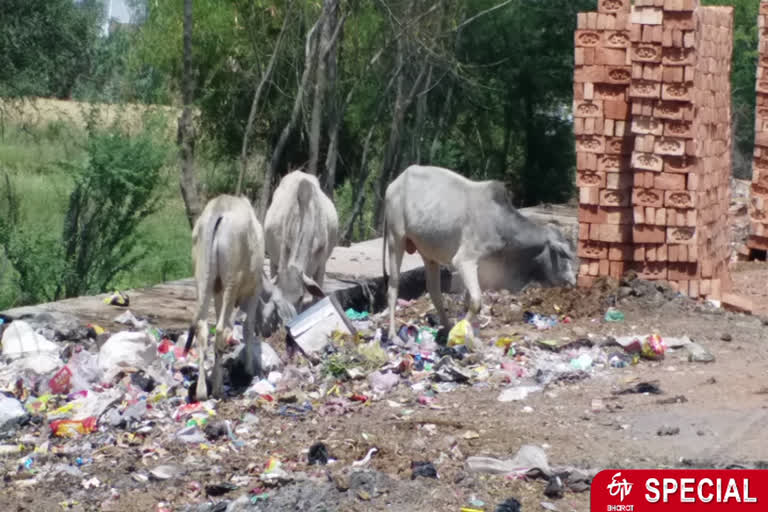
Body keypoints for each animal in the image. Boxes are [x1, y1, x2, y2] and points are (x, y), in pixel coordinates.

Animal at [185, 195, 268, 400]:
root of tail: (219, 209)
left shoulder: (218, 291)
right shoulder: (255, 288)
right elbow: (248, 326)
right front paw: (249, 369)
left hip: (203, 279)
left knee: (203, 329)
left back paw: (202, 391)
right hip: (232, 280)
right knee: (221, 328)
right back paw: (217, 389)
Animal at [384, 164, 576, 344]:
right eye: (562, 255)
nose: (573, 281)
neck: (499, 223)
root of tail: (395, 183)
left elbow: (469, 301)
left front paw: (468, 333)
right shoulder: (464, 260)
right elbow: (476, 301)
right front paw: (459, 334)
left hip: (429, 252)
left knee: (434, 291)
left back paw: (446, 327)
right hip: (396, 240)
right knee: (393, 288)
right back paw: (393, 334)